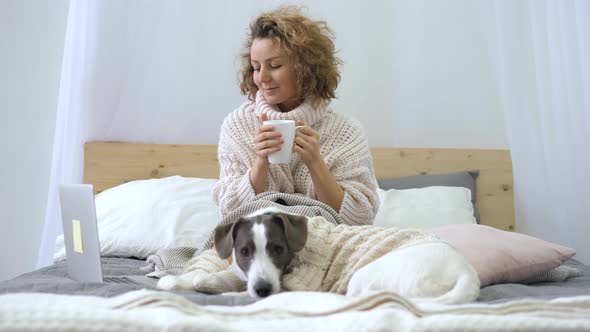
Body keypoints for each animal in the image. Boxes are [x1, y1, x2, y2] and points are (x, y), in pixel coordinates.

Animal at [158, 208, 480, 304]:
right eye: (244, 251)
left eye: (278, 249)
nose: (262, 290)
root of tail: (466, 272)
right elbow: (209, 276)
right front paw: (175, 281)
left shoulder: (297, 282)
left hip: (365, 277)